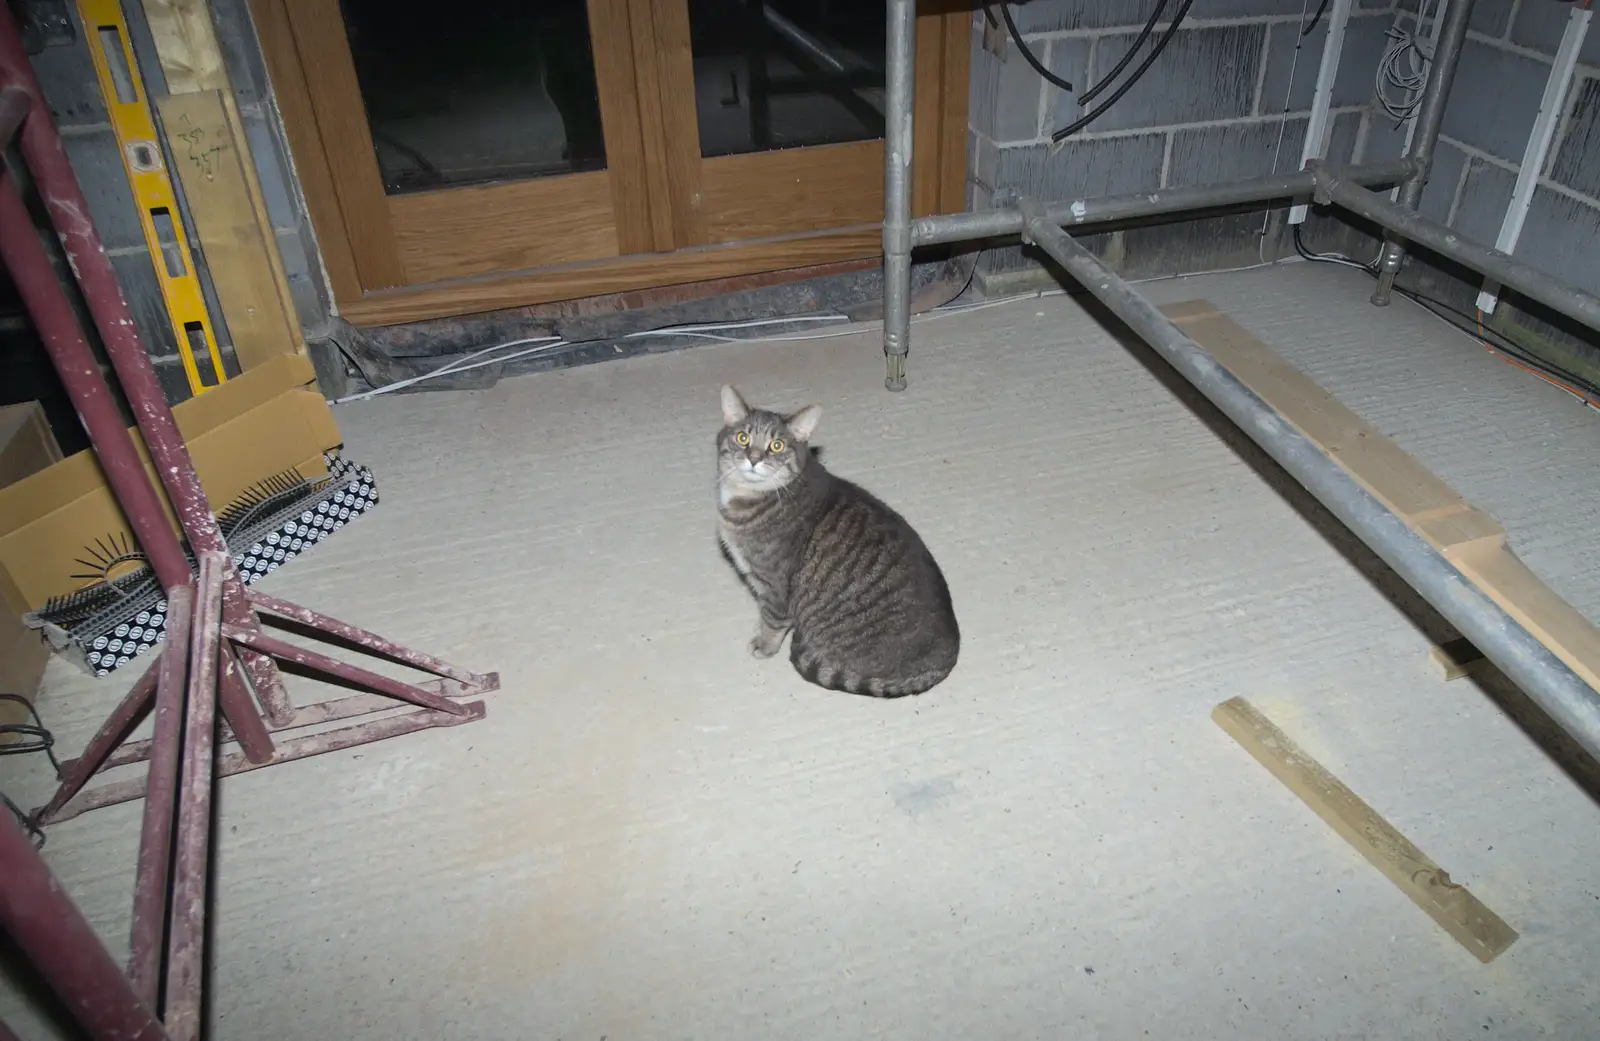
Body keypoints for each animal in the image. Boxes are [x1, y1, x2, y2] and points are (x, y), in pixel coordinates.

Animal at [716, 385, 960, 700]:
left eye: (777, 446)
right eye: (742, 438)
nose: (754, 458)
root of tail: (947, 657)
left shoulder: (775, 585)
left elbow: (772, 620)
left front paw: (765, 645)